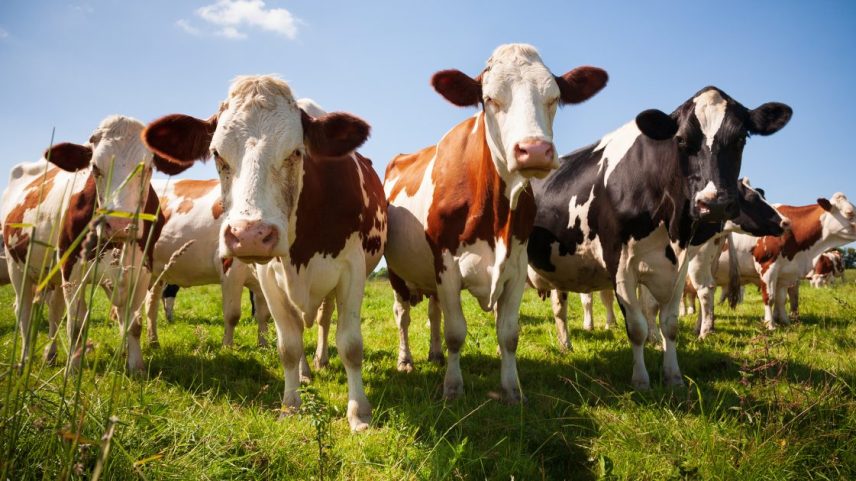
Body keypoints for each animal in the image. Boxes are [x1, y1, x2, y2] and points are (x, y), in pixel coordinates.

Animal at [1, 115, 168, 372]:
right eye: (95, 168)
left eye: (148, 168)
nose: (119, 224)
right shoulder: (72, 268)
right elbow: (76, 325)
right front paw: (73, 369)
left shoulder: (142, 270)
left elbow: (133, 323)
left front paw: (136, 367)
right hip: (17, 266)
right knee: (25, 312)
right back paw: (25, 360)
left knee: (54, 310)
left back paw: (50, 355)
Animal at [145, 178, 271, 348]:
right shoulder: (230, 269)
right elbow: (232, 314)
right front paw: (227, 347)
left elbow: (264, 315)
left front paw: (264, 346)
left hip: (156, 273)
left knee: (151, 304)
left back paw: (153, 342)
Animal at [384, 43, 608, 402]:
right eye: (489, 99)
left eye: (554, 97)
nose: (534, 150)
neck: (495, 216)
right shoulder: (446, 266)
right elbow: (456, 332)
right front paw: (453, 388)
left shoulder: (515, 268)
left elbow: (508, 335)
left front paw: (512, 390)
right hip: (396, 272)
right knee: (403, 315)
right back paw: (406, 360)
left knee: (433, 312)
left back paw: (434, 354)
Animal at [527, 86, 792, 389]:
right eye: (681, 139)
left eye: (740, 139)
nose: (712, 203)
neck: (672, 226)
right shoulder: (621, 265)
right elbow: (637, 326)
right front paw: (641, 381)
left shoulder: (679, 266)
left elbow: (670, 324)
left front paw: (673, 377)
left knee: (559, 307)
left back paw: (565, 345)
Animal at [720, 193, 856, 328]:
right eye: (849, 212)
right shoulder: (767, 267)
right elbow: (769, 298)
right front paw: (770, 324)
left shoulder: (785, 272)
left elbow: (782, 299)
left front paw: (786, 322)